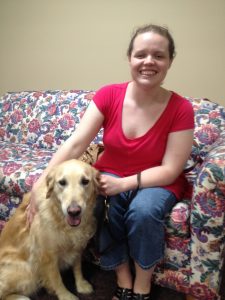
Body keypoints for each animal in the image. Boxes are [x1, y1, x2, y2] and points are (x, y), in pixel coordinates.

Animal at [0, 158, 99, 298]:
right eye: (62, 182)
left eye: (85, 181)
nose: (74, 211)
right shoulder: (47, 255)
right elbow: (57, 279)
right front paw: (65, 296)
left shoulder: (77, 247)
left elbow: (77, 268)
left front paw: (81, 285)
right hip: (26, 271)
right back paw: (21, 297)